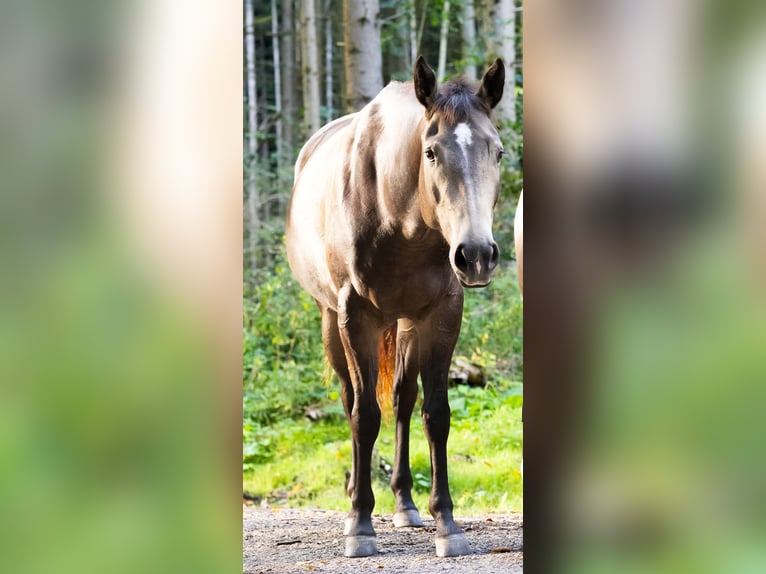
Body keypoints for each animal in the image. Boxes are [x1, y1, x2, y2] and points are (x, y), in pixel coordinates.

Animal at [286, 57, 506, 558]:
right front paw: (360, 526)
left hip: (406, 324)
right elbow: (365, 416)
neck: (396, 214)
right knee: (351, 400)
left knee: (404, 402)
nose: (476, 255)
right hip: (332, 324)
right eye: (431, 153)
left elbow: (436, 415)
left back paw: (405, 504)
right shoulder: (355, 319)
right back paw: (357, 494)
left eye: (499, 152)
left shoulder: (443, 315)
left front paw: (447, 524)